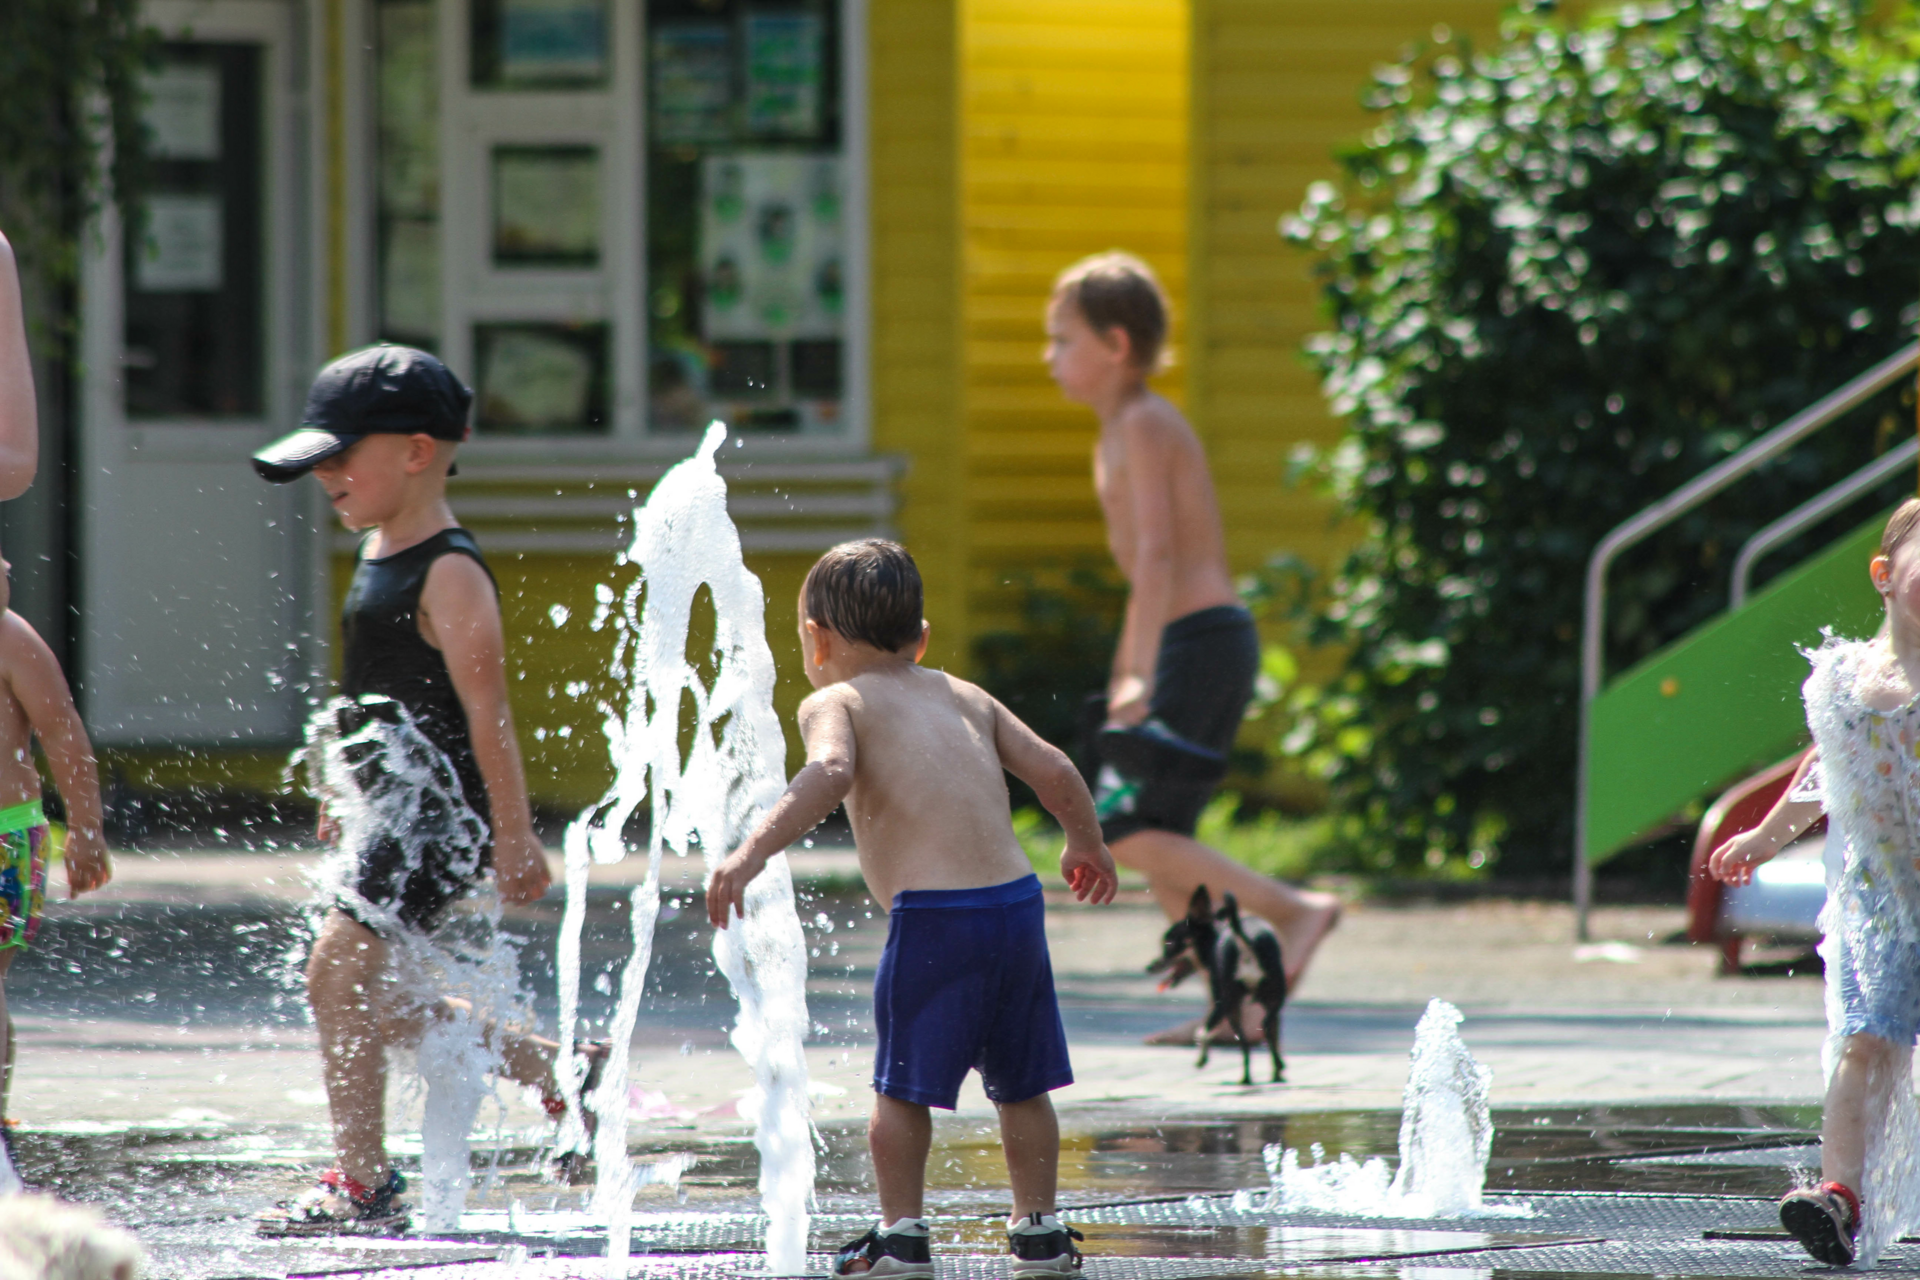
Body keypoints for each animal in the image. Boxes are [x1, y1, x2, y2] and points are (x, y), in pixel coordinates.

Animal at [1144, 886, 1282, 1090]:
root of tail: (1242, 938)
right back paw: (1267, 1072)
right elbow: (1275, 1037)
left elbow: (1202, 1032)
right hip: (1274, 994)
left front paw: (1202, 1059)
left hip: (1229, 1003)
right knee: (1266, 1027)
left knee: (1242, 1040)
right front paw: (1277, 1072)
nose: (1149, 966)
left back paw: (1244, 1078)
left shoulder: (1220, 1002)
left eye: (1169, 944)